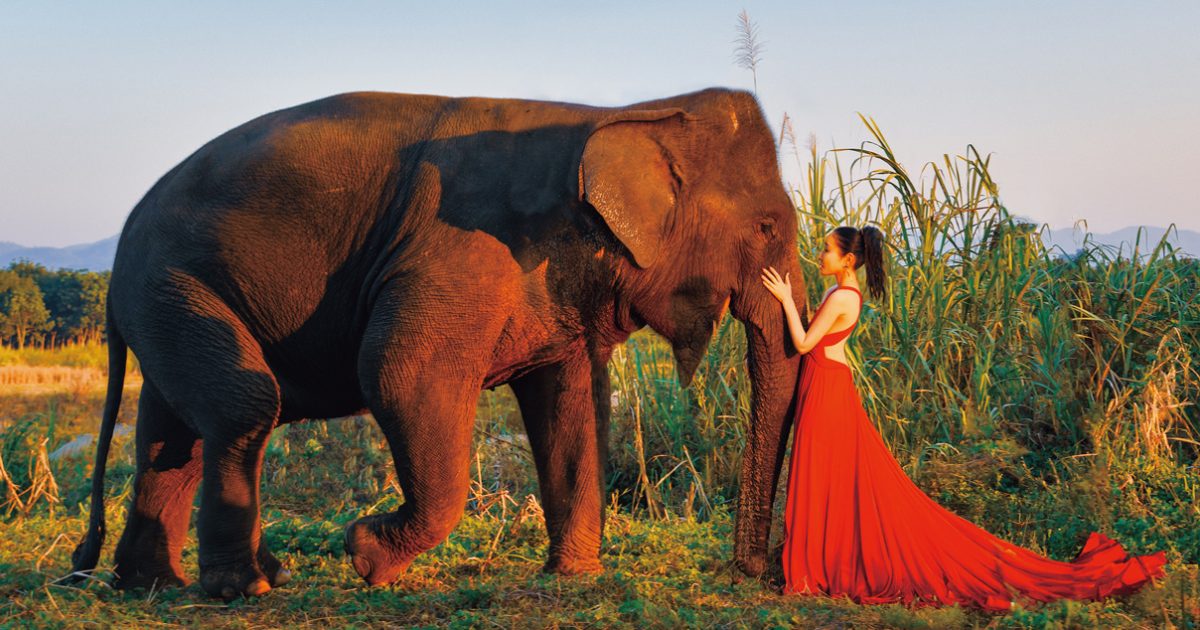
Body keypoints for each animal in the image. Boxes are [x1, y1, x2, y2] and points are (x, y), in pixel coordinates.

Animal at [69, 87, 807, 598]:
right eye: (768, 227)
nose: (751, 571)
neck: (631, 112)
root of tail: (121, 244)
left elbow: (571, 405)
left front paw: (573, 577)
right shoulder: (461, 254)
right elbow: (399, 372)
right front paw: (365, 555)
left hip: (170, 298)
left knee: (174, 434)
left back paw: (157, 584)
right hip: (172, 283)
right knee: (244, 406)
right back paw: (244, 588)